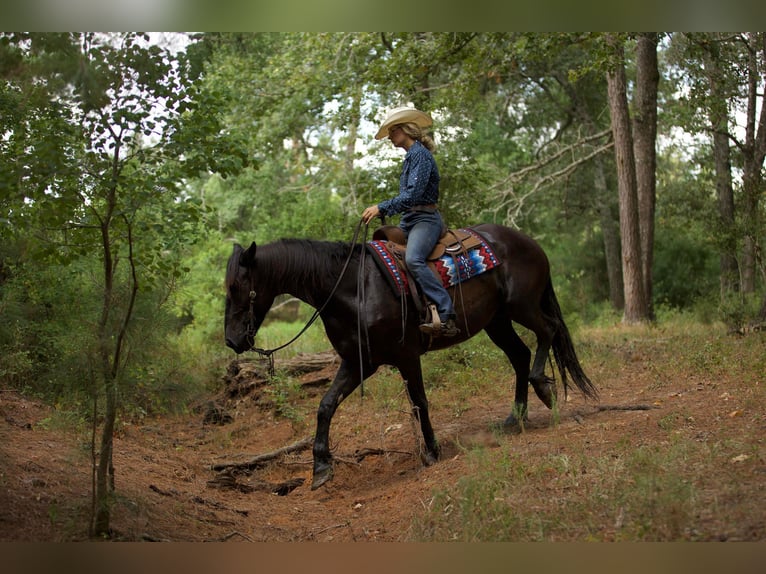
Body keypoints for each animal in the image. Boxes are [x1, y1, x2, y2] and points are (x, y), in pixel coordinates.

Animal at [225, 224, 596, 490]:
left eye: (238, 288)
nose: (231, 340)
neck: (352, 288)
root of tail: (529, 241)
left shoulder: (406, 356)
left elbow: (419, 401)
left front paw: (431, 451)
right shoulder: (358, 362)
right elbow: (326, 405)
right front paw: (321, 467)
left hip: (522, 306)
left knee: (549, 331)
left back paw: (542, 388)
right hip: (498, 321)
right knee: (520, 355)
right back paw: (515, 417)